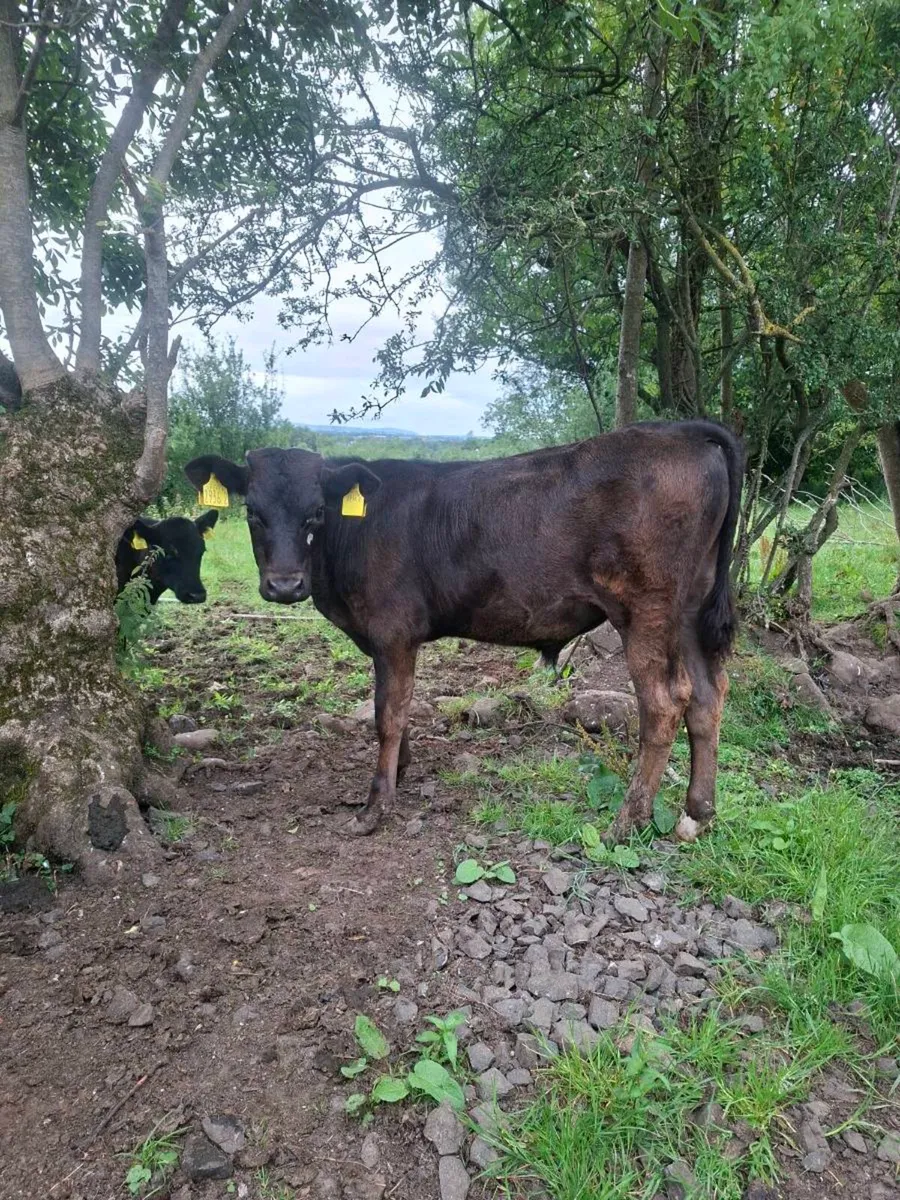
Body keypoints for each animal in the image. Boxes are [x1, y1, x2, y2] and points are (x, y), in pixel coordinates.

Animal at [186, 420, 743, 841]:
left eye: (316, 512)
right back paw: (696, 814)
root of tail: (680, 429)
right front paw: (399, 770)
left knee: (665, 703)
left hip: (646, 609)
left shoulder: (392, 630)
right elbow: (396, 706)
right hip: (690, 607)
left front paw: (376, 806)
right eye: (252, 512)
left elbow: (388, 714)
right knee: (707, 696)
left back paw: (626, 822)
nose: (285, 585)